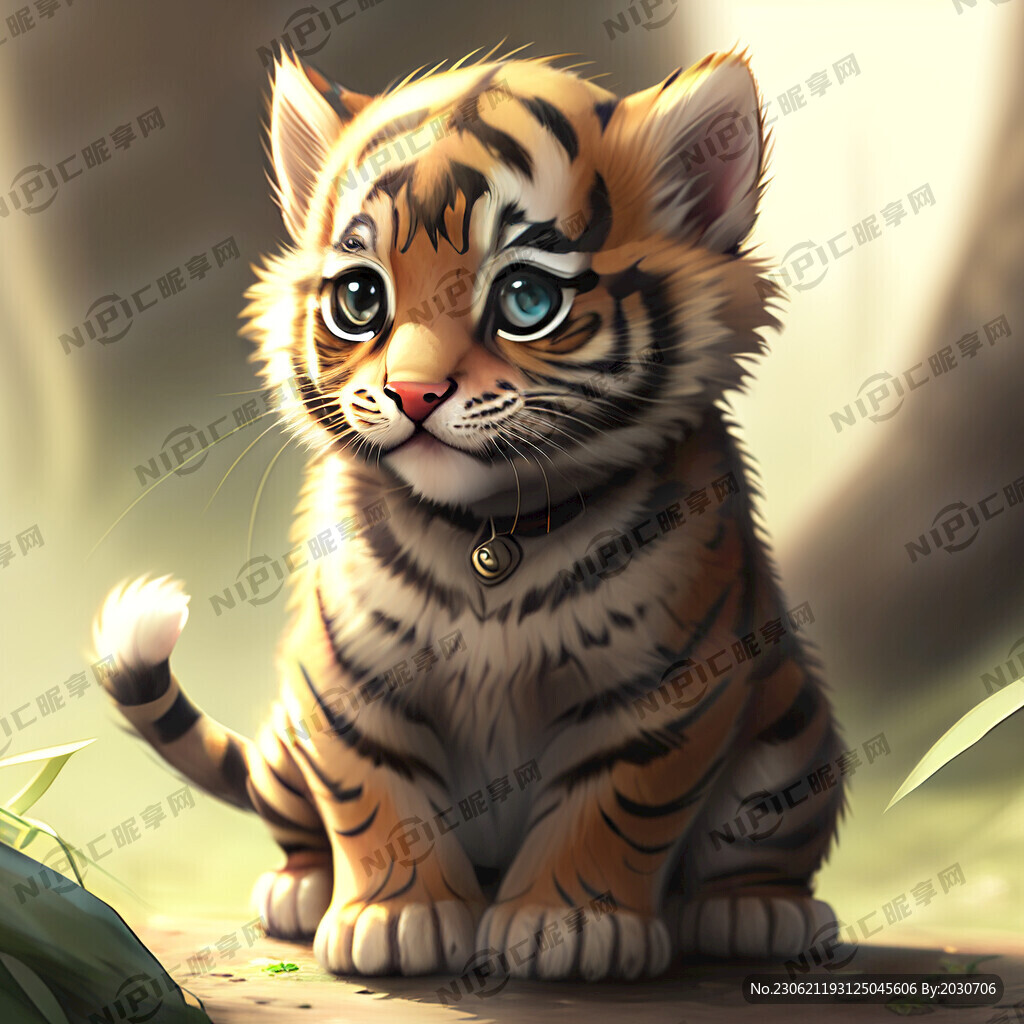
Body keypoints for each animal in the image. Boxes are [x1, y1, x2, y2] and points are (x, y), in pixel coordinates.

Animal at [92, 47, 846, 980]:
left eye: (526, 299)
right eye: (360, 297)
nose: (413, 393)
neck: (491, 531)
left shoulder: (668, 684)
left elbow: (614, 801)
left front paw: (569, 926)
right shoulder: (346, 677)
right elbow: (377, 792)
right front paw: (395, 920)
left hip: (793, 747)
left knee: (759, 852)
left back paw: (759, 914)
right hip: (284, 740)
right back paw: (300, 891)